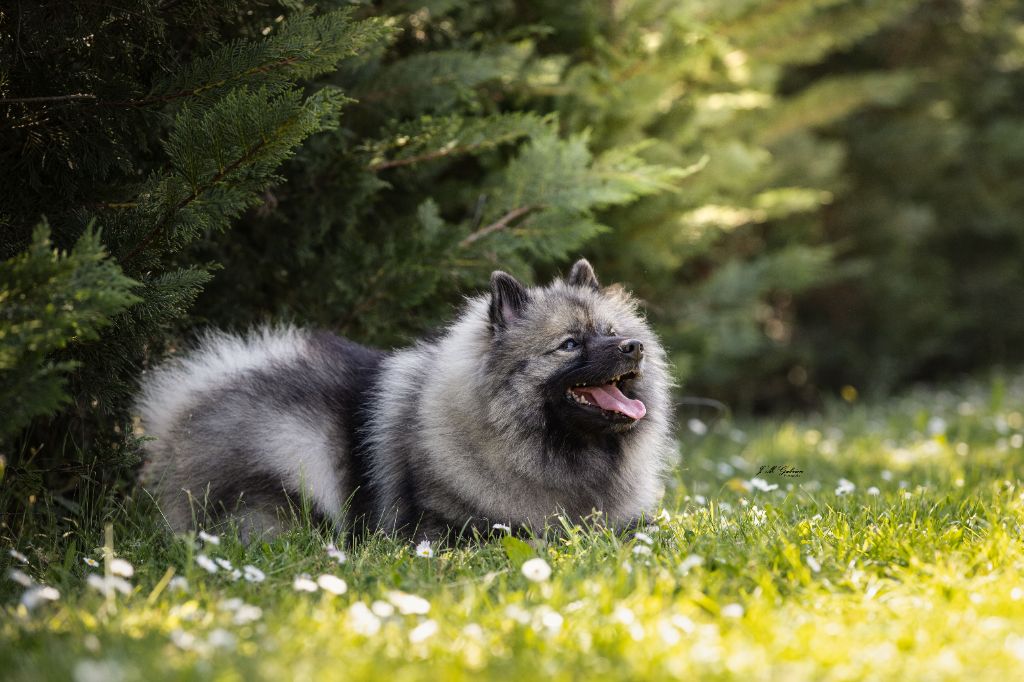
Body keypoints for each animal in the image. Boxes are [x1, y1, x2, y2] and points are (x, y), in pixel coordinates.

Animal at [138, 258, 679, 540]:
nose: (634, 347)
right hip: (295, 462)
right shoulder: (449, 529)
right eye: (569, 344)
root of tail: (181, 410)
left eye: (611, 332)